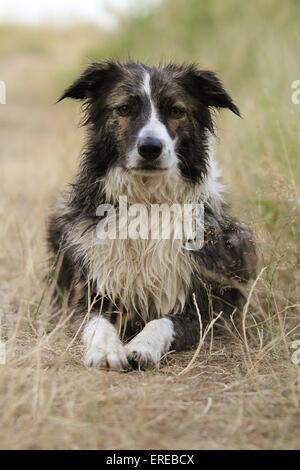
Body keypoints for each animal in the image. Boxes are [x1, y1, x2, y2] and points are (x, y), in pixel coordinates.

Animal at [48, 60, 256, 370]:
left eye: (176, 111)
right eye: (124, 109)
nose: (150, 148)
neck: (146, 204)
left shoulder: (201, 310)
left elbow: (162, 321)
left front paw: (142, 346)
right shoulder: (89, 298)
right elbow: (97, 323)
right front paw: (107, 349)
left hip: (241, 237)